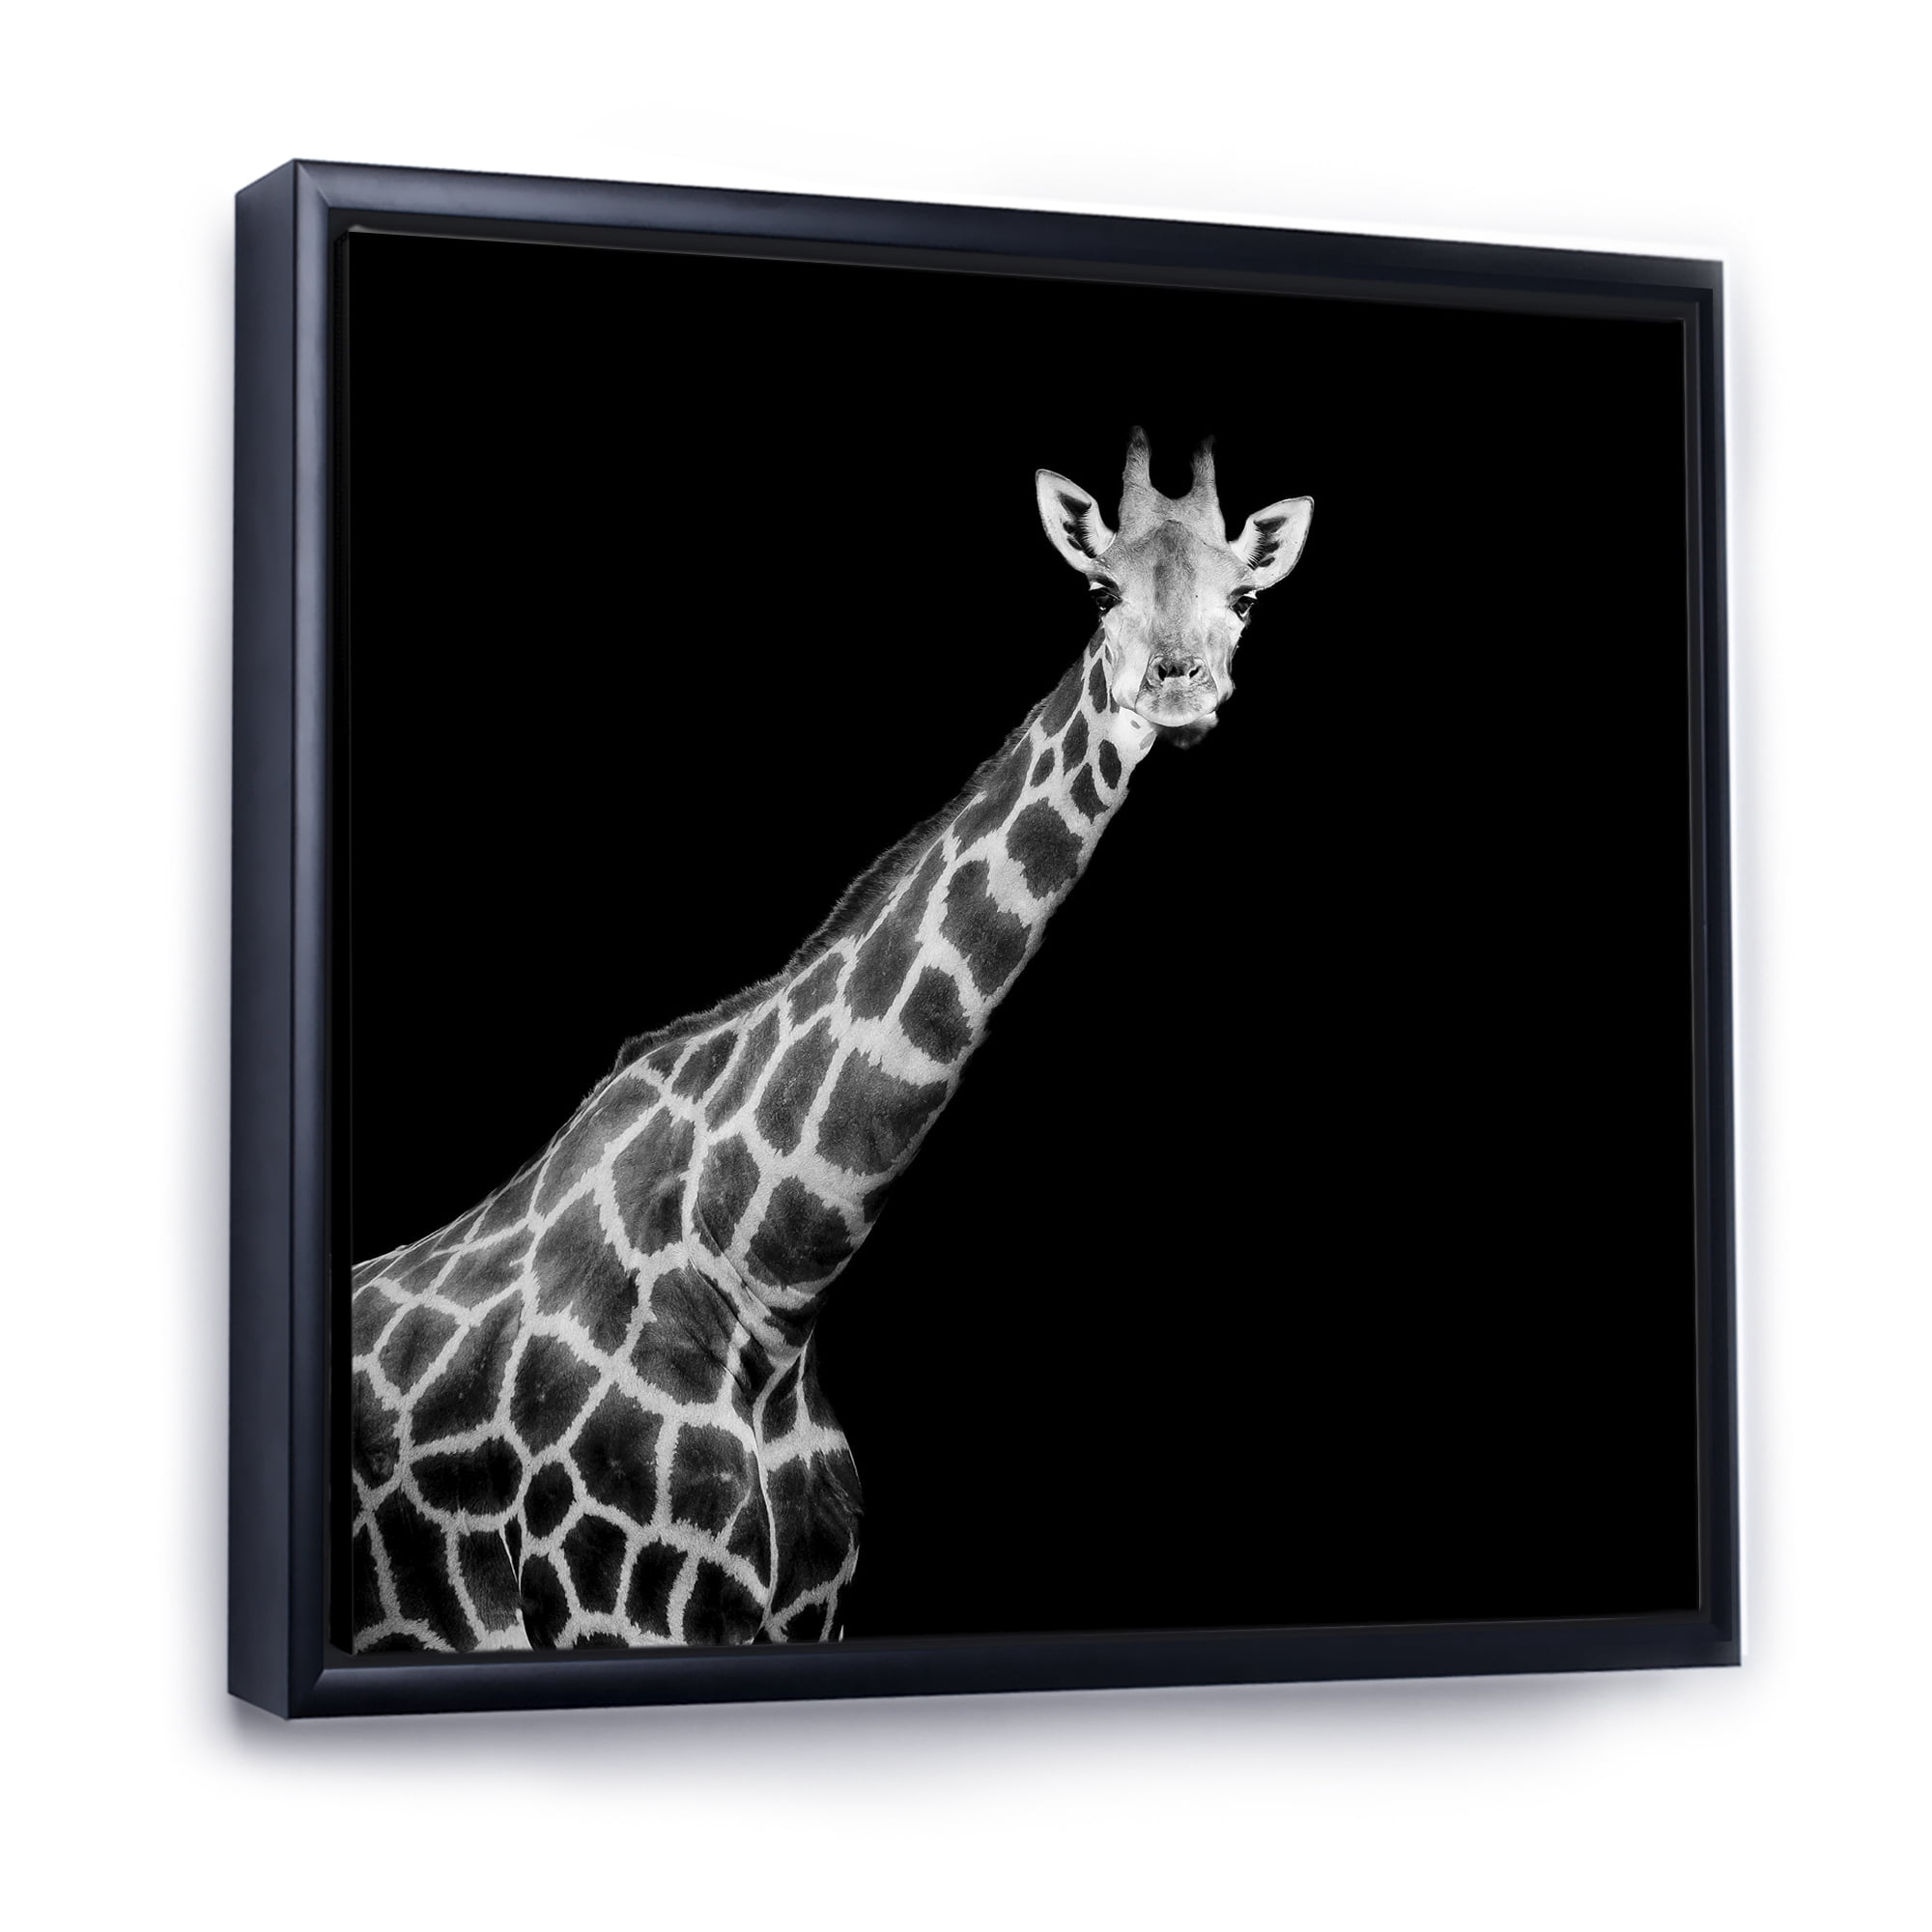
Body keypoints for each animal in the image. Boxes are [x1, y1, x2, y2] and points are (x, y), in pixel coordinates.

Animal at [348, 429, 1314, 1651]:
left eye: (1244, 596)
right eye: (1099, 589)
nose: (1177, 685)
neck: (768, 1277)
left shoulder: (810, 1613)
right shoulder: (612, 1607)